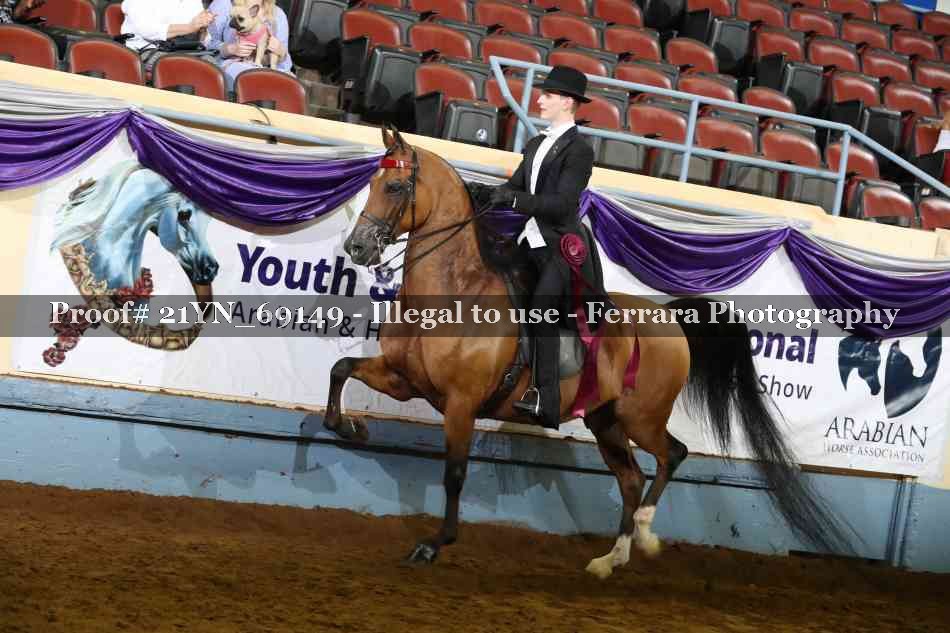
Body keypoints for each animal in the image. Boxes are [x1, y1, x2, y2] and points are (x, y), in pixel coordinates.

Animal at [324, 125, 856, 576]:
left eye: (395, 187)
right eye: (373, 182)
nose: (358, 248)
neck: (457, 290)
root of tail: (670, 319)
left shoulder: (460, 404)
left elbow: (454, 474)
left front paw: (434, 545)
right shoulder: (404, 379)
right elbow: (341, 368)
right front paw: (350, 427)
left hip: (641, 417)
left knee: (672, 456)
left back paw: (644, 533)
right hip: (606, 420)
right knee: (631, 478)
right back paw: (610, 559)